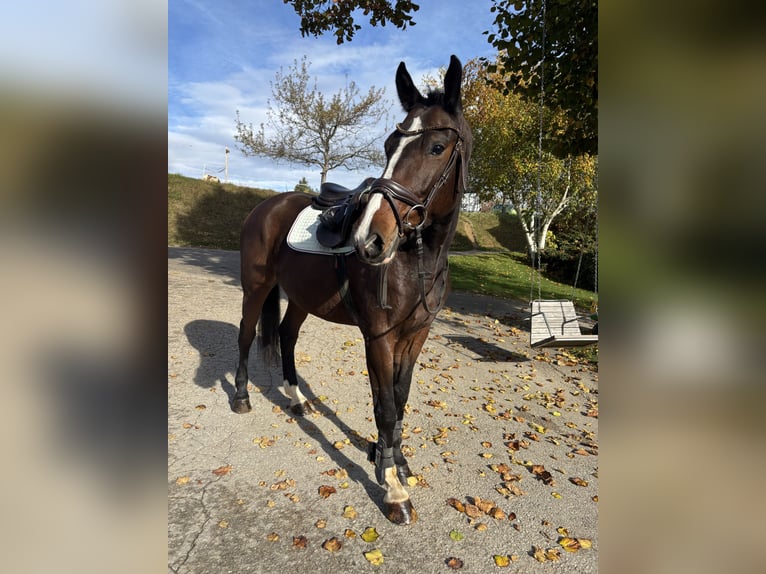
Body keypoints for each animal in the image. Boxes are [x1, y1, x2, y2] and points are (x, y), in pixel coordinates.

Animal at [233, 55, 472, 525]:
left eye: (437, 147)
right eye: (388, 145)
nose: (370, 240)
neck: (416, 260)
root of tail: (266, 205)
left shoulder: (415, 336)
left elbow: (399, 399)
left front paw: (394, 460)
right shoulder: (378, 338)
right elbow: (383, 405)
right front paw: (393, 488)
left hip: (300, 298)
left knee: (286, 336)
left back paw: (297, 400)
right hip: (256, 289)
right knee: (247, 334)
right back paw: (243, 397)